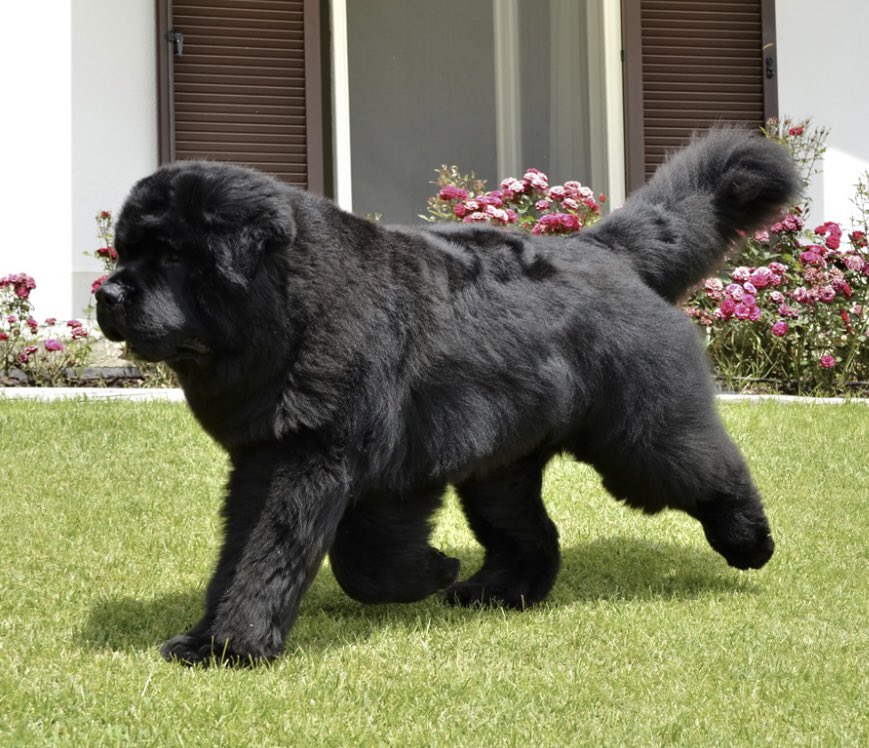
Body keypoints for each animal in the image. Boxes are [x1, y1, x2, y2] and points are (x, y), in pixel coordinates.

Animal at [98, 129, 796, 668]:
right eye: (125, 251)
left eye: (172, 256)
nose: (107, 292)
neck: (291, 312)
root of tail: (603, 248)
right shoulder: (282, 459)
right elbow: (282, 555)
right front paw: (432, 572)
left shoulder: (313, 455)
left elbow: (276, 554)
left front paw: (233, 649)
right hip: (500, 466)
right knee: (530, 530)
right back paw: (497, 591)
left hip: (638, 435)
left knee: (704, 468)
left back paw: (750, 543)